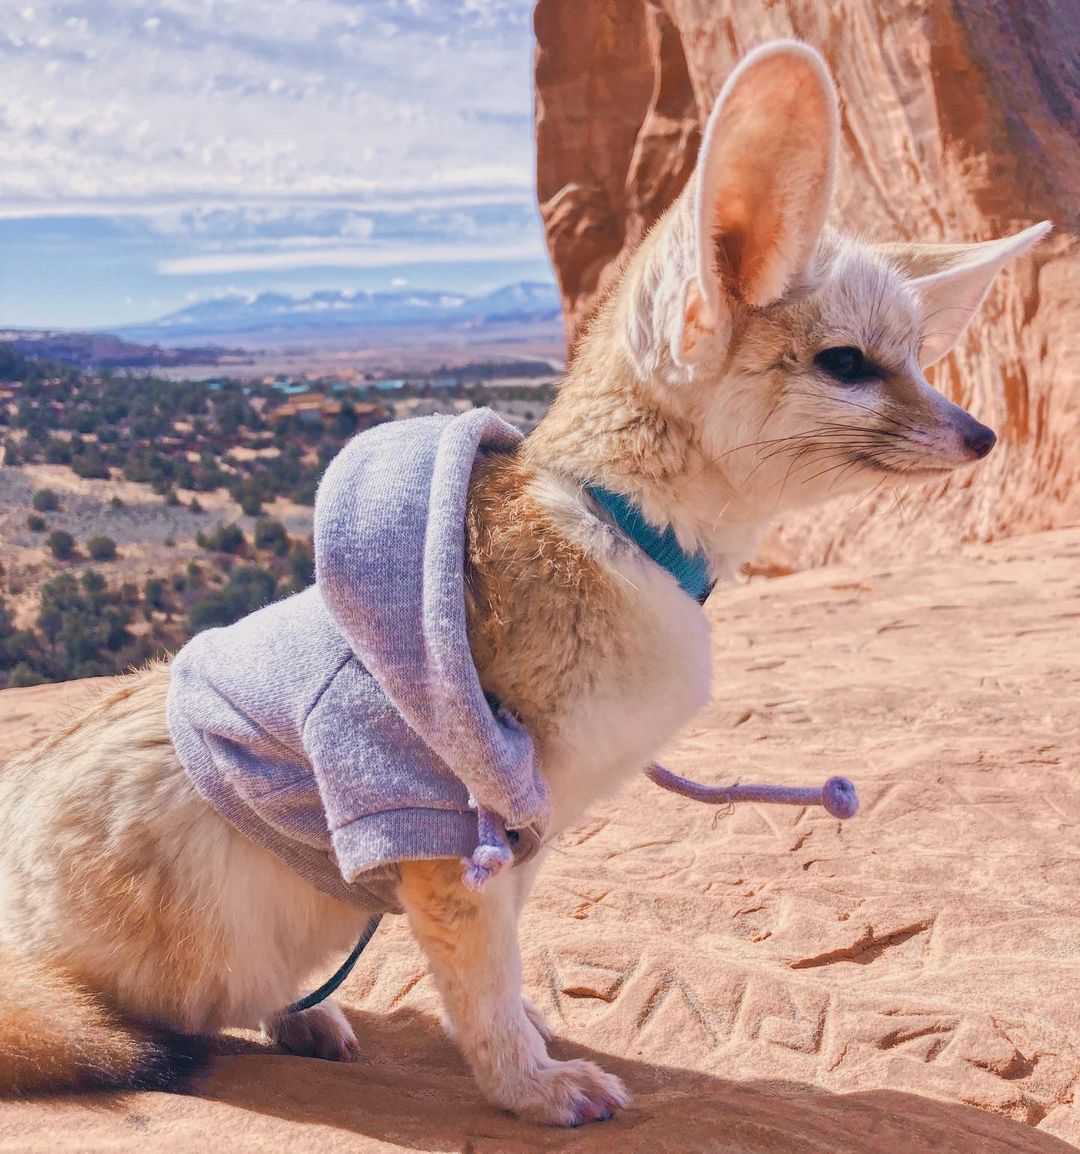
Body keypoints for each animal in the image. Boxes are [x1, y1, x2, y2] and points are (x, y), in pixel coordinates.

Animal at [0, 41, 1049, 1125]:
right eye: (848, 364)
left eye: (917, 359)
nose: (986, 435)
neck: (621, 530)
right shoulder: (443, 824)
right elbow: (484, 982)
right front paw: (531, 1085)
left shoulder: (530, 835)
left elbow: (506, 968)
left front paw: (537, 1045)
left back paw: (308, 1017)